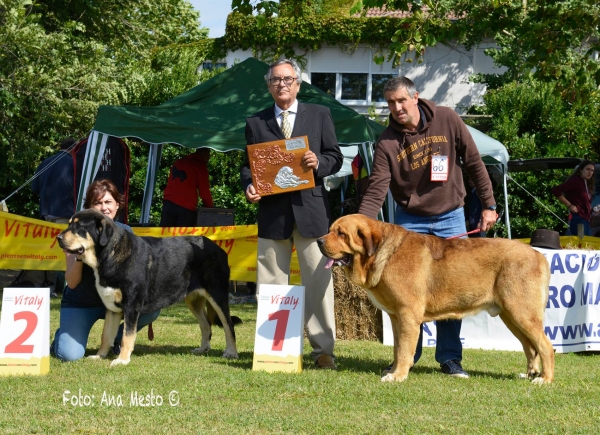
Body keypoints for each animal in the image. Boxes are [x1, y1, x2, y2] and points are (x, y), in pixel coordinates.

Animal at [56, 209, 239, 366]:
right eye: (70, 224)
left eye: (80, 226)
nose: (58, 237)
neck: (110, 253)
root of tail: (218, 248)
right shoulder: (113, 308)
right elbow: (106, 335)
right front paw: (100, 356)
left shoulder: (131, 307)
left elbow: (127, 336)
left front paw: (122, 359)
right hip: (193, 300)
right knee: (206, 324)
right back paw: (203, 348)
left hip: (217, 295)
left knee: (228, 325)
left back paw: (231, 352)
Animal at [316, 215, 556, 384]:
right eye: (330, 231)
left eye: (341, 233)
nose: (318, 241)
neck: (383, 254)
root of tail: (538, 254)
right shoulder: (396, 317)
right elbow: (397, 348)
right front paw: (394, 371)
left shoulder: (407, 315)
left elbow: (404, 349)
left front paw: (398, 376)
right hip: (511, 316)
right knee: (530, 346)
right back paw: (530, 374)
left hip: (522, 313)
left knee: (545, 345)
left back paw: (544, 379)